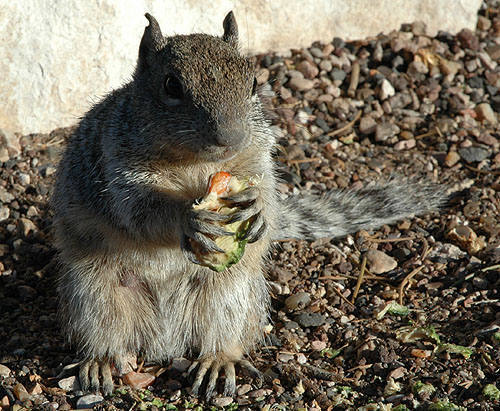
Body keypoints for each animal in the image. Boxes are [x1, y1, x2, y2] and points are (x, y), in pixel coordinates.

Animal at [51, 12, 446, 400]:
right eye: (171, 86)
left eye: (254, 82)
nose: (230, 137)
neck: (195, 163)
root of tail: (164, 342)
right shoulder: (119, 171)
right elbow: (142, 212)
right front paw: (189, 219)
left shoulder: (259, 159)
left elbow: (267, 193)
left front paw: (256, 211)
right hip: (94, 296)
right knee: (105, 335)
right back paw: (100, 363)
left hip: (231, 293)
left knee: (224, 335)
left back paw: (217, 362)